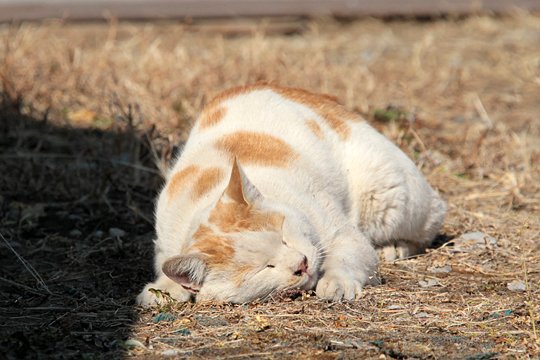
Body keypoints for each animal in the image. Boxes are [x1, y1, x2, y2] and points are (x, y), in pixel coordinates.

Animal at [137, 83, 446, 304]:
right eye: (265, 267)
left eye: (284, 237)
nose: (301, 264)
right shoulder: (165, 242)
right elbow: (165, 268)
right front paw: (162, 289)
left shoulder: (344, 235)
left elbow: (347, 257)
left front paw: (336, 283)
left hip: (391, 201)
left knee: (429, 223)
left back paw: (393, 247)